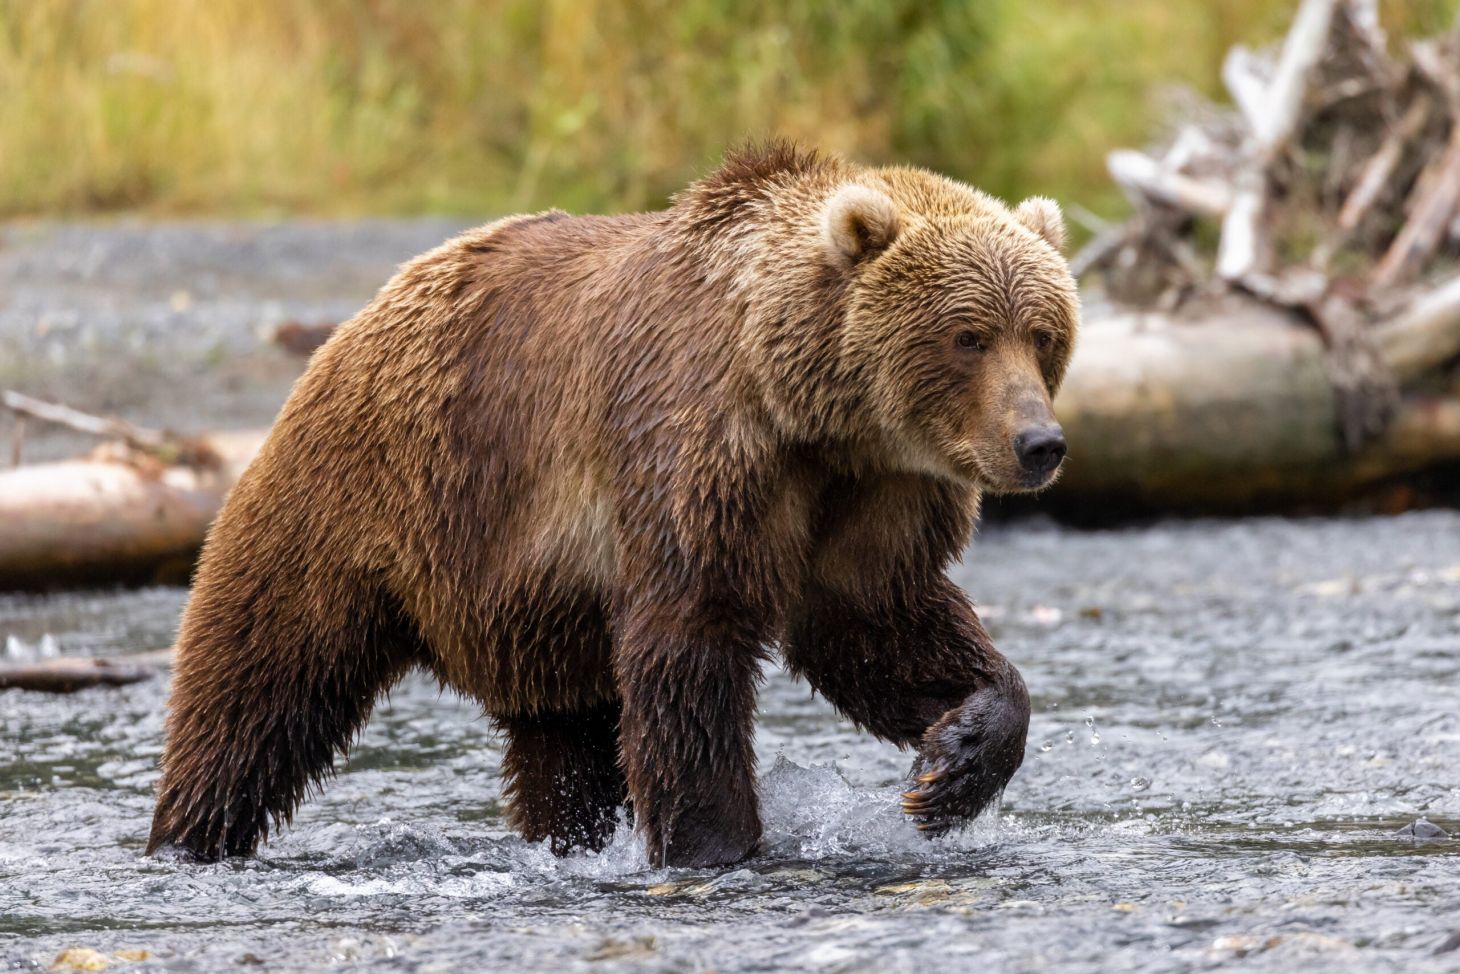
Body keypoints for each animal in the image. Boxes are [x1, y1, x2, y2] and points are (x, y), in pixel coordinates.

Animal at [146, 142, 1079, 869]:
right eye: (967, 336)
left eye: (1041, 332)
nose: (1039, 442)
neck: (811, 413)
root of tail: (353, 326)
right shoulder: (698, 456)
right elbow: (689, 647)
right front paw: (717, 844)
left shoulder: (878, 493)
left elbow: (876, 623)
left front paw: (950, 767)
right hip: (357, 503)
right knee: (258, 684)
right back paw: (190, 835)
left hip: (535, 621)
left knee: (565, 746)